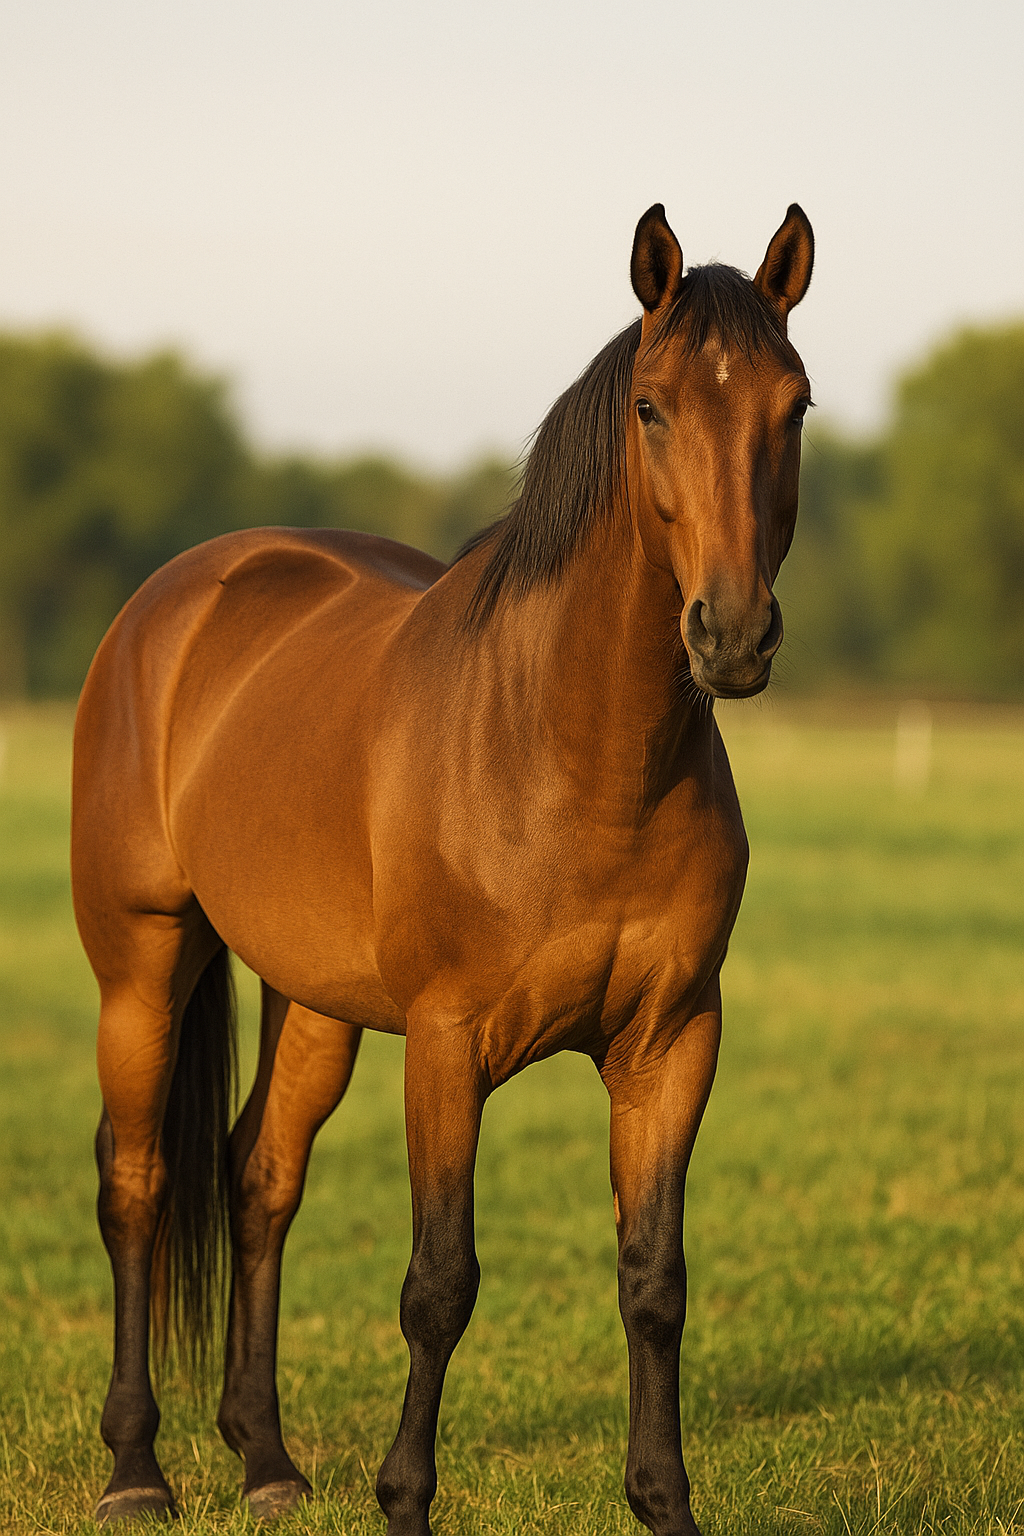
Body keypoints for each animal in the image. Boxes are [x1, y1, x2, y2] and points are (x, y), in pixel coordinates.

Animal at [71, 201, 813, 1533]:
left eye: (797, 404)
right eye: (652, 406)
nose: (730, 636)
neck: (575, 755)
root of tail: (179, 597)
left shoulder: (673, 1042)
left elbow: (654, 1279)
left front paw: (662, 1500)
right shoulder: (446, 1043)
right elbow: (440, 1283)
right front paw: (405, 1498)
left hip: (311, 1000)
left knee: (259, 1177)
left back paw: (266, 1462)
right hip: (142, 965)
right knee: (140, 1183)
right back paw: (137, 1470)